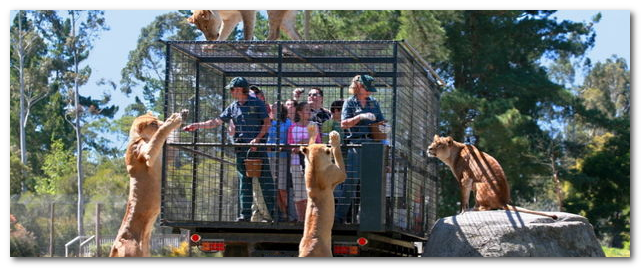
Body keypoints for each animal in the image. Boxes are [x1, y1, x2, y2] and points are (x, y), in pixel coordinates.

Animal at [107, 109, 186, 258]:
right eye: (154, 123)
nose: (162, 121)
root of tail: (116, 244)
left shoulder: (167, 155)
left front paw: (183, 114)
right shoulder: (146, 152)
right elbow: (159, 135)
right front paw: (172, 120)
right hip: (131, 251)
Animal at [298, 126, 348, 258]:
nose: (328, 145)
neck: (314, 165)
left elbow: (308, 145)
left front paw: (311, 130)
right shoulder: (339, 175)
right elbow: (337, 153)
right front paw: (334, 138)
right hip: (328, 253)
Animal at [428, 134, 556, 220]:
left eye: (439, 144)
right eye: (433, 142)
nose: (429, 148)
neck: (452, 156)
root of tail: (503, 201)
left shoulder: (465, 179)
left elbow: (464, 199)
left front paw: (462, 212)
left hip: (478, 184)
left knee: (486, 208)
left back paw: (474, 209)